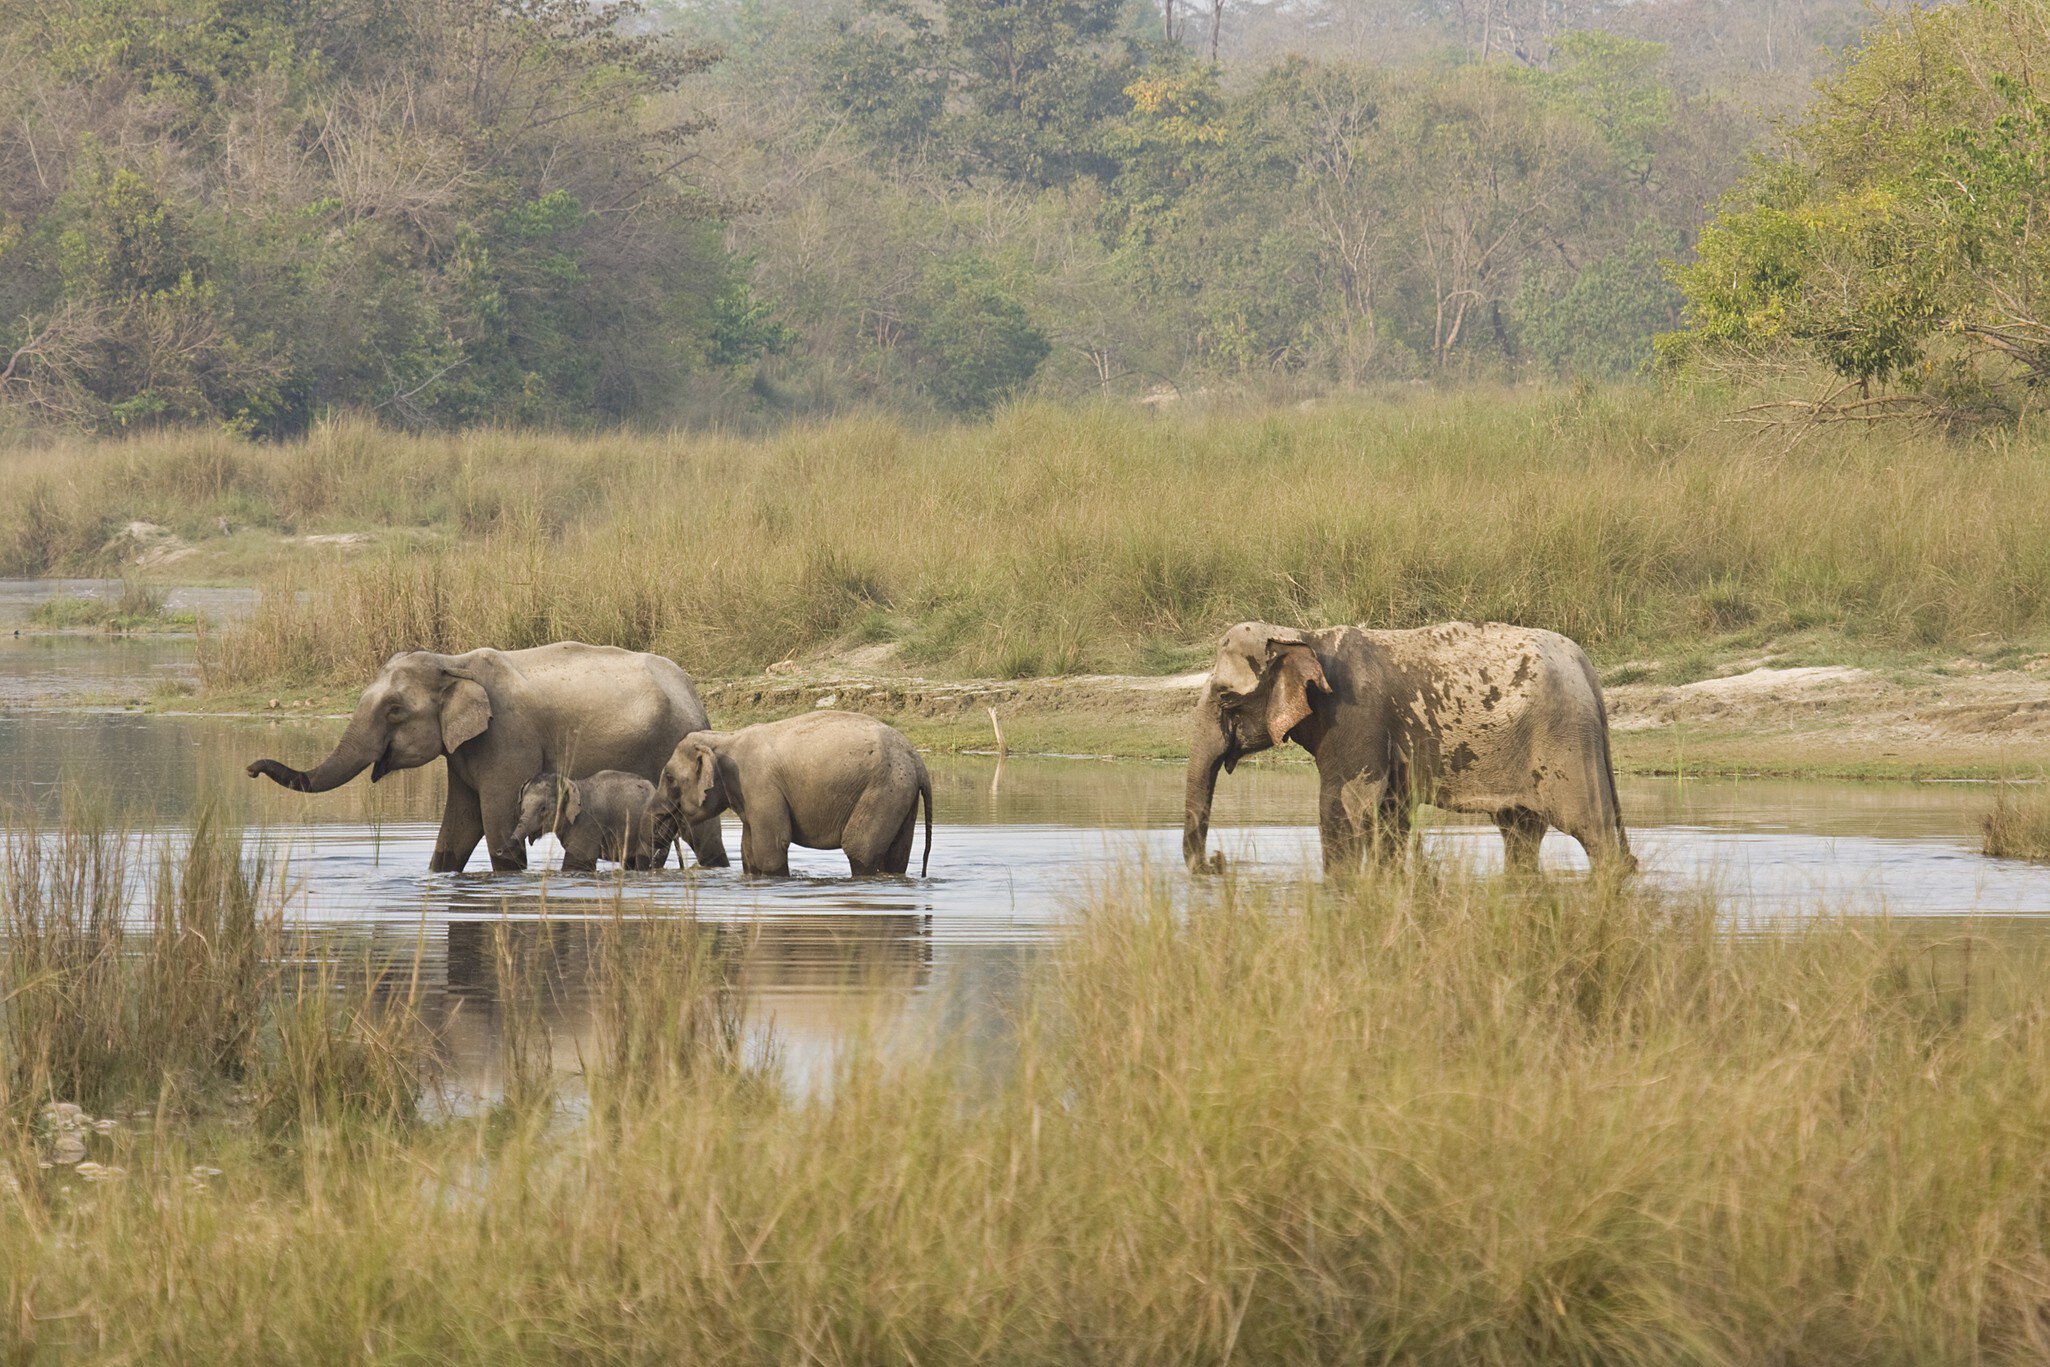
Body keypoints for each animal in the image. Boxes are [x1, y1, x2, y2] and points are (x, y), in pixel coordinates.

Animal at [511, 770, 671, 872]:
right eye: (522, 808)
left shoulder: (586, 824)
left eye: (543, 809)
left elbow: (576, 863)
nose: (512, 840)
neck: (573, 784)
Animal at [657, 711, 933, 877]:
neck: (725, 739)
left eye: (669, 778)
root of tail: (917, 759)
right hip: (901, 795)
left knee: (859, 850)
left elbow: (771, 846)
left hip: (882, 790)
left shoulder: (760, 784)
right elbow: (749, 850)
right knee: (896, 856)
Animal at [1184, 621, 1634, 877]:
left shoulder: (1355, 717)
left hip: (1566, 742)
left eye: (1225, 698)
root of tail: (1586, 666)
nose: (1218, 862)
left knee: (1589, 829)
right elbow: (1389, 817)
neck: (1303, 637)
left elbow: (1343, 808)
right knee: (1520, 832)